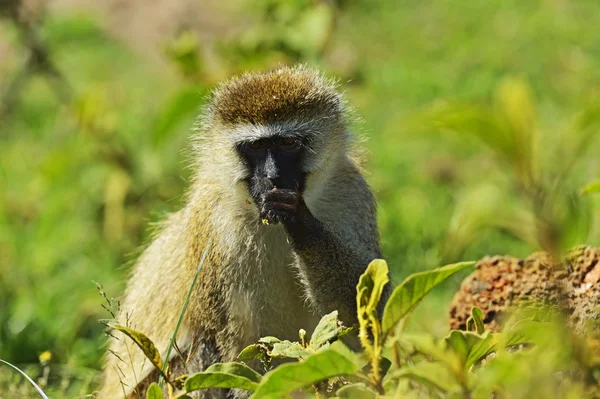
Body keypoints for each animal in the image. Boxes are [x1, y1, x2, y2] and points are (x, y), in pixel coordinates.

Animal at [100, 66, 382, 399]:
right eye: (256, 147)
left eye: (288, 143)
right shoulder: (215, 225)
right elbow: (236, 347)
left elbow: (362, 316)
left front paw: (299, 217)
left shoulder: (352, 194)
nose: (272, 176)